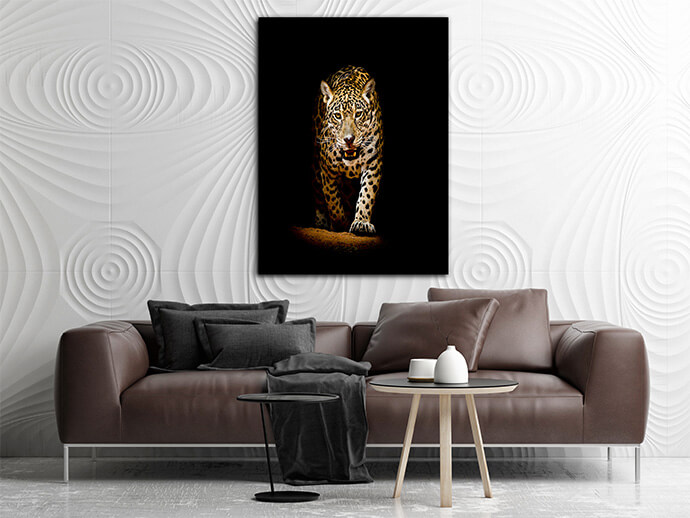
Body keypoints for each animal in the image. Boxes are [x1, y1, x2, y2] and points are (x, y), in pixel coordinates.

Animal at [312, 65, 383, 235]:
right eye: (338, 116)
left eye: (358, 114)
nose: (349, 139)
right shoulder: (326, 170)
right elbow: (332, 200)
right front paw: (339, 225)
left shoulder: (373, 164)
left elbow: (367, 194)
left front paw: (361, 222)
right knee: (319, 197)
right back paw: (321, 223)